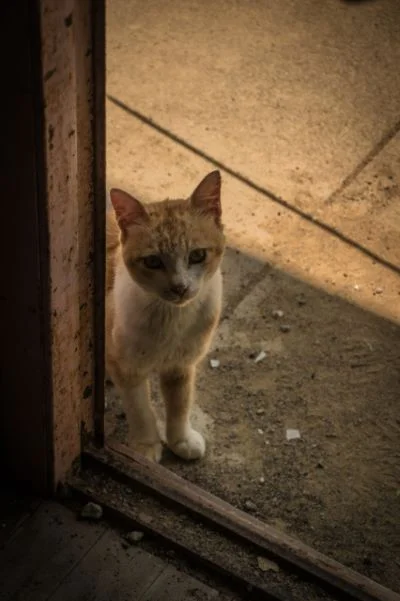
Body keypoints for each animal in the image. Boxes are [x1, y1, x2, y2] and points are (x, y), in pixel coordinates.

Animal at [105, 171, 225, 462]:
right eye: (152, 262)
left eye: (197, 255)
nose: (179, 287)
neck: (172, 320)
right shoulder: (127, 369)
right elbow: (140, 410)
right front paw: (145, 448)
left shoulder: (181, 367)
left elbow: (180, 405)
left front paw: (181, 441)